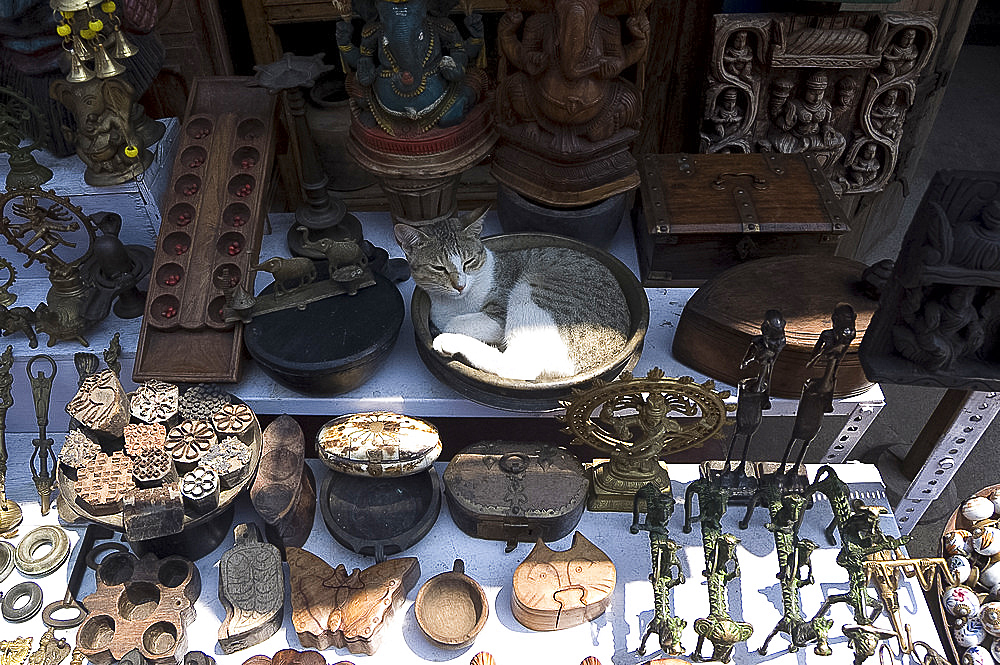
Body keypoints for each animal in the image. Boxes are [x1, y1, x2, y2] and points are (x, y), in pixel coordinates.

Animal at [394, 208, 628, 384]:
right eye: (439, 268)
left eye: (468, 262)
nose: (460, 285)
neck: (455, 302)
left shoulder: (498, 316)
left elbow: (454, 322)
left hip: (529, 292)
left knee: (518, 366)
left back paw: (449, 342)